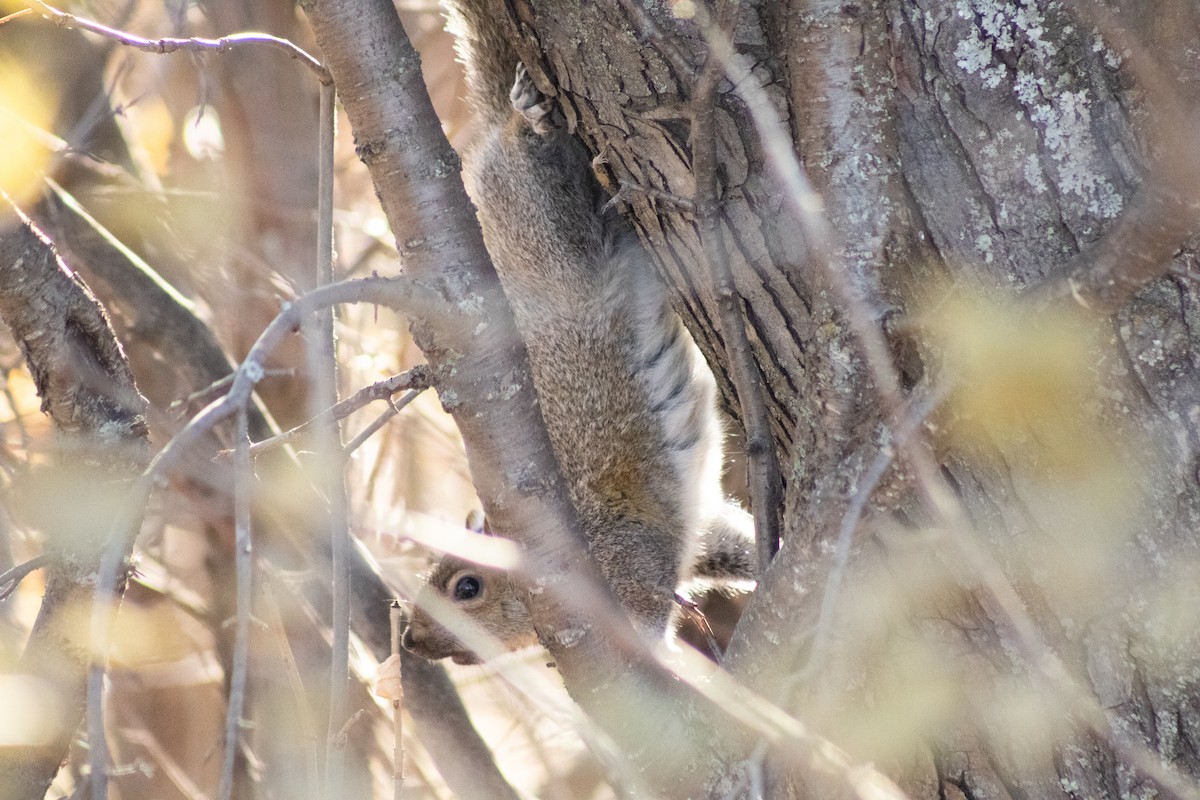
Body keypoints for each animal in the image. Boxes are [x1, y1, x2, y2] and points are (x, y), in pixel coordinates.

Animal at [402, 0, 756, 665]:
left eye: (467, 586)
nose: (412, 639)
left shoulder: (627, 557)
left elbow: (647, 618)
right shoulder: (696, 537)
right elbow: (735, 544)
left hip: (542, 222)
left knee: (533, 163)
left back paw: (526, 120)